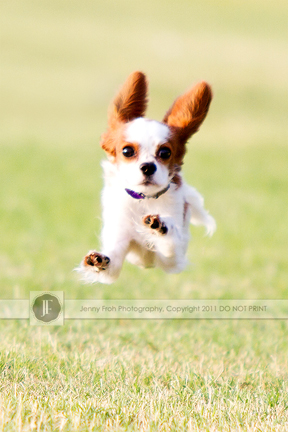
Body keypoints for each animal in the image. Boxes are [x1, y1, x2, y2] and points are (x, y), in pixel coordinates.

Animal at [75, 71, 215, 284]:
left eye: (165, 152)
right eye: (127, 151)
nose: (148, 166)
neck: (144, 199)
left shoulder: (173, 260)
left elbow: (169, 240)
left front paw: (159, 227)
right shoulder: (118, 240)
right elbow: (110, 263)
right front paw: (97, 261)